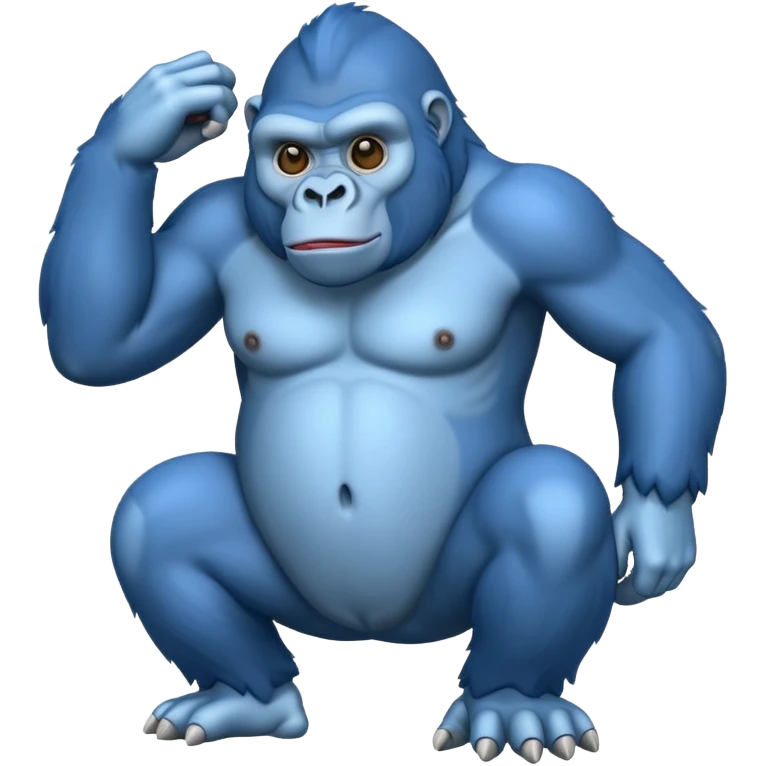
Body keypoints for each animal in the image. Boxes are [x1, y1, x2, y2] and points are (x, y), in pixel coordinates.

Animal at [40, 3, 727, 761]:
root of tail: (371, 632)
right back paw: (250, 700)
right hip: (298, 594)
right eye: (290, 158)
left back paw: (511, 703)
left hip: (438, 603)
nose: (322, 192)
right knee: (157, 517)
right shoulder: (206, 225)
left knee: (550, 502)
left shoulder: (551, 215)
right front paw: (146, 123)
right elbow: (106, 343)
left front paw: (656, 520)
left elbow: (656, 333)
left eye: (367, 151)